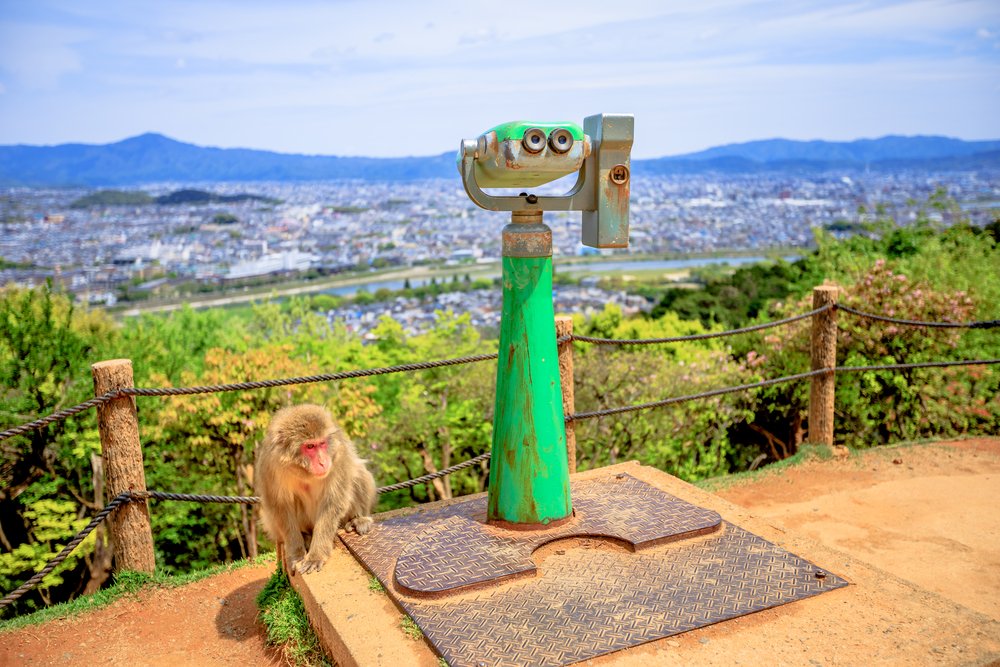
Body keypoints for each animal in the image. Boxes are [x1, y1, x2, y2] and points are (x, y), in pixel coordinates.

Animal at [255, 404, 376, 574]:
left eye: (322, 443)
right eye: (310, 446)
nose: (323, 462)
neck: (303, 471)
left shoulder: (338, 454)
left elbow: (333, 502)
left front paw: (316, 556)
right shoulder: (270, 464)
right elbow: (280, 505)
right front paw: (296, 553)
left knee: (357, 472)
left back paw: (357, 519)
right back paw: (305, 537)